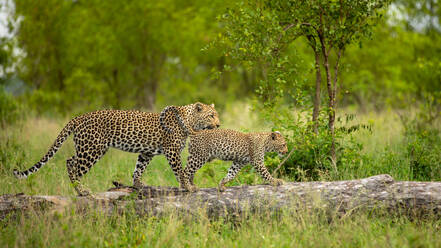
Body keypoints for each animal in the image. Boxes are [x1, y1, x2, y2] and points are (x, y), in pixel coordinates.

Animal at [12, 101, 219, 195]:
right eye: (211, 115)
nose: (218, 125)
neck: (190, 121)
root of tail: (78, 117)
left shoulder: (146, 152)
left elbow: (138, 168)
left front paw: (138, 184)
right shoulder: (172, 151)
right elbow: (179, 171)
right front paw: (187, 186)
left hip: (89, 148)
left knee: (70, 160)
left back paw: (79, 190)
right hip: (92, 149)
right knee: (73, 165)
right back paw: (82, 191)